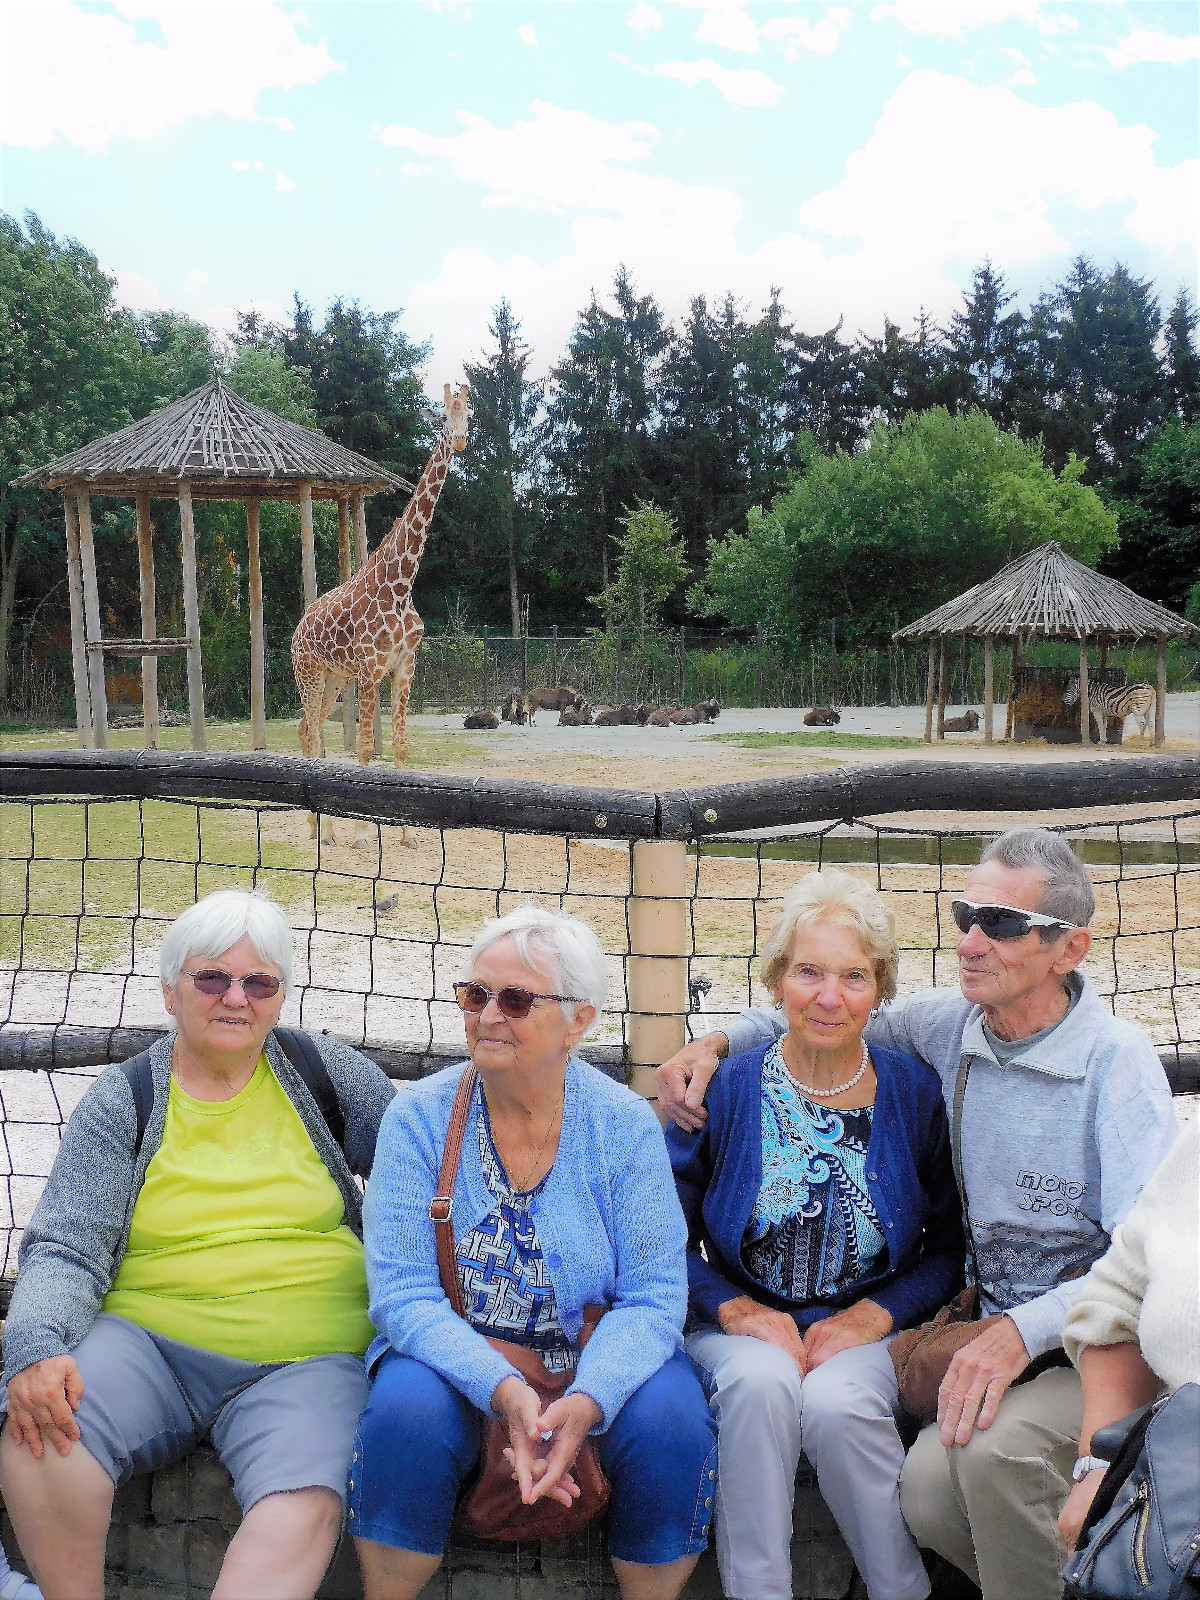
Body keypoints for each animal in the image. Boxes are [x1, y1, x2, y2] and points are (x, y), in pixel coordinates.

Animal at [291, 383, 469, 837]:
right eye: (443, 415)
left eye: (469, 414)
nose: (460, 440)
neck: (401, 585)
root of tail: (297, 631)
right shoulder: (371, 668)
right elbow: (367, 749)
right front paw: (360, 837)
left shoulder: (404, 666)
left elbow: (401, 747)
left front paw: (408, 838)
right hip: (309, 673)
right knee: (312, 732)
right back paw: (323, 831)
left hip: (335, 678)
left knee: (306, 727)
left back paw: (321, 827)